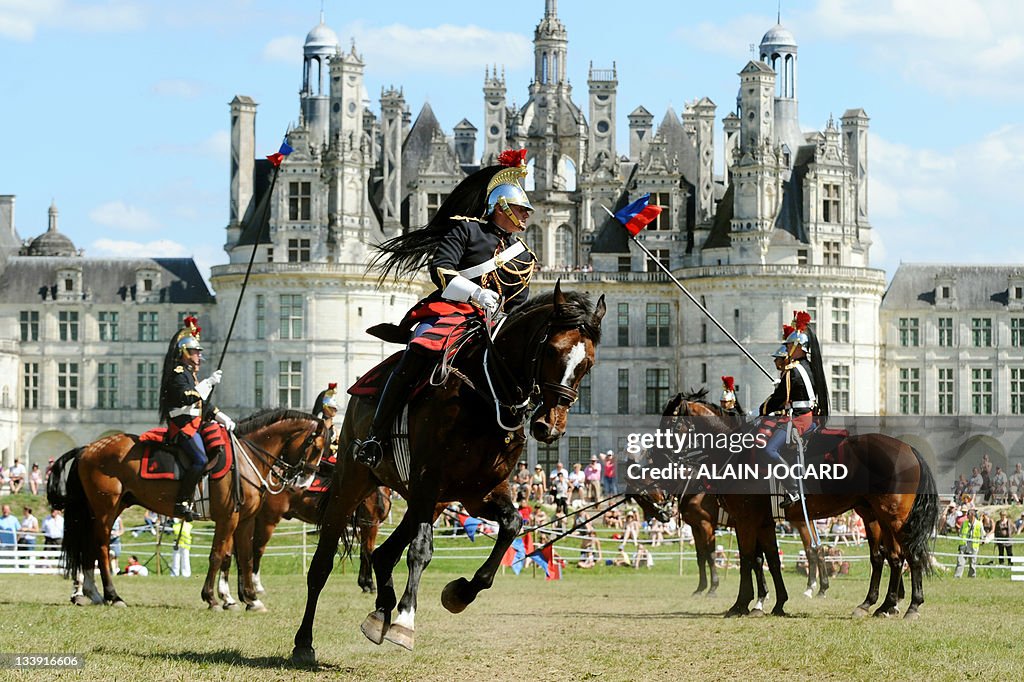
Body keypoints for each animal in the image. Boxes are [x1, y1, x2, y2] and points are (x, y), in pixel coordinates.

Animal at [43, 405, 323, 606]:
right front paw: (213, 598)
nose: (305, 481)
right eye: (318, 445)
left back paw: (92, 593)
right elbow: (218, 555)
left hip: (107, 509)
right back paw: (112, 595)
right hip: (105, 510)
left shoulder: (243, 520)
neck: (247, 458)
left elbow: (242, 556)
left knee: (89, 547)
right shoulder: (228, 518)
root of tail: (89, 447)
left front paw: (249, 599)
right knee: (101, 547)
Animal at [288, 280, 606, 659]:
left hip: (428, 500)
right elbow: (422, 550)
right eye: (553, 351)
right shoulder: (430, 479)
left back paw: (380, 613)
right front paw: (406, 621)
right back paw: (305, 641)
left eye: (587, 364)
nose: (549, 427)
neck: (487, 394)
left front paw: (460, 593)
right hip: (355, 483)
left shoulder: (478, 493)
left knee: (383, 554)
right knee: (323, 564)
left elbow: (512, 526)